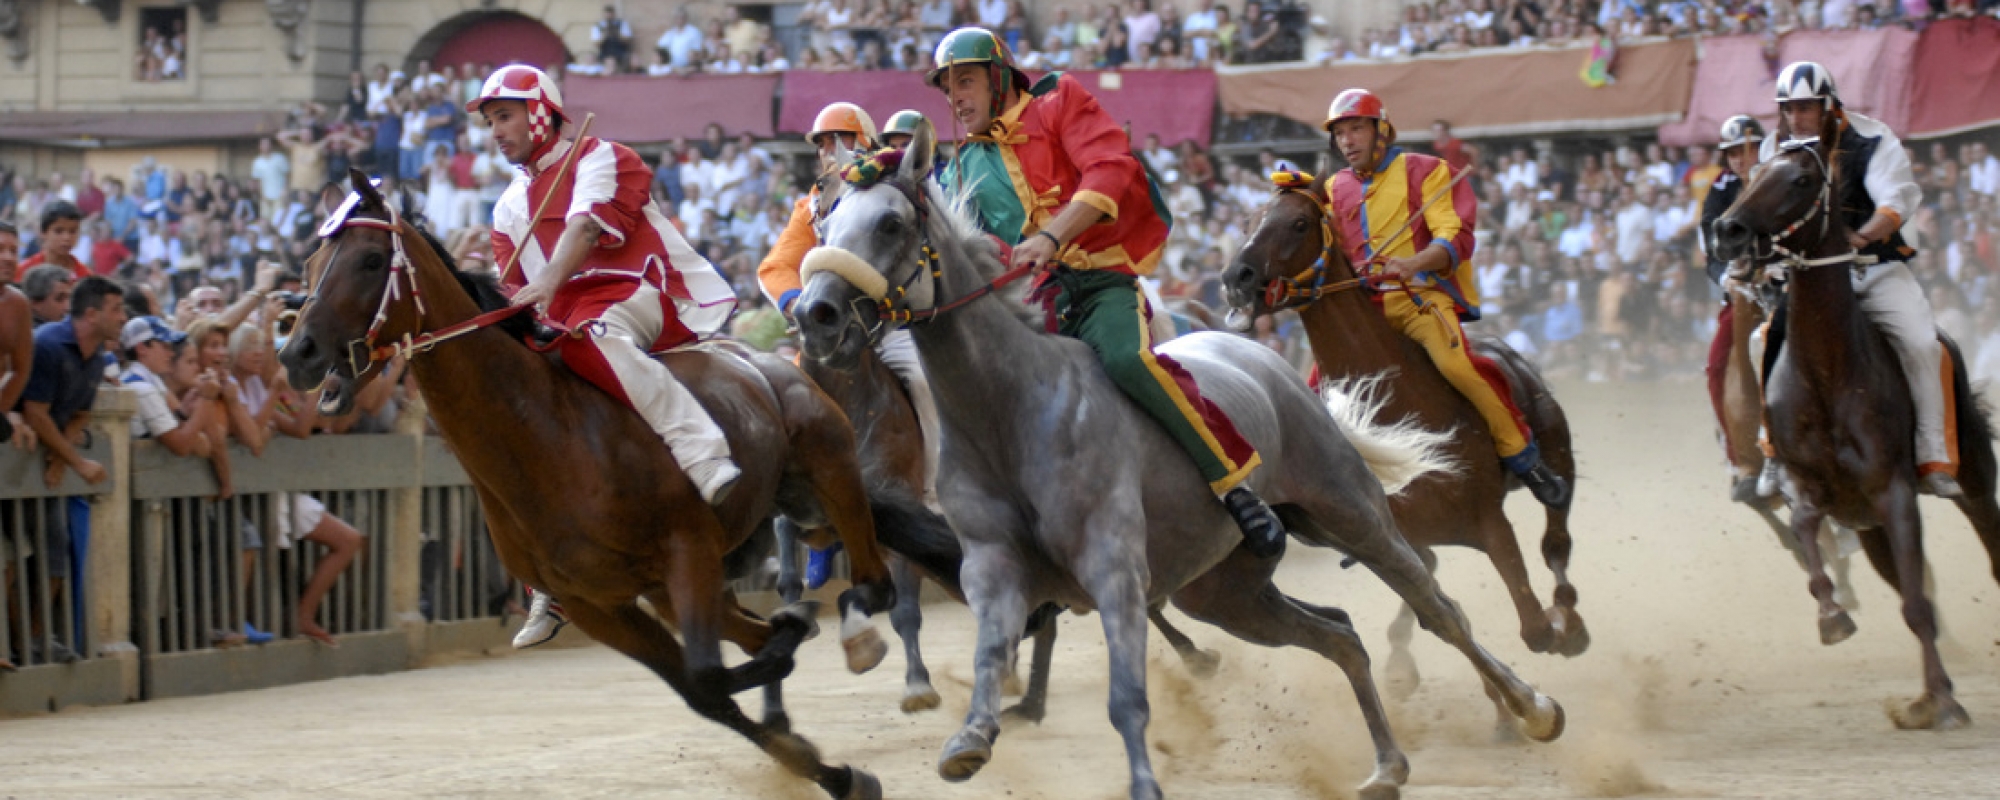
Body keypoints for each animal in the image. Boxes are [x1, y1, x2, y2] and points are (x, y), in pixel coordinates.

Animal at [274, 172, 952, 796]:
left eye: (369, 259)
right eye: (309, 262)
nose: (296, 352)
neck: (547, 436)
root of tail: (771, 364)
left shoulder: (686, 549)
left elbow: (709, 675)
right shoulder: (596, 603)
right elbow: (707, 691)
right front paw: (832, 769)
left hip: (826, 472)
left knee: (874, 583)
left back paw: (852, 635)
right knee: (764, 626)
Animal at [1216, 180, 1592, 700]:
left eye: (1299, 222)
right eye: (1249, 222)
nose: (1238, 276)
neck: (1392, 402)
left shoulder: (1488, 521)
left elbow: (1533, 627)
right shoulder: (1398, 531)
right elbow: (1439, 610)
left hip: (1557, 454)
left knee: (1556, 537)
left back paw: (1571, 622)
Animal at [1712, 128, 2000, 728]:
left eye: (1801, 180)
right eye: (1755, 174)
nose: (1729, 230)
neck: (1827, 370)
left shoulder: (1893, 491)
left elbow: (1916, 602)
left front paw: (1943, 703)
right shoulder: (1807, 485)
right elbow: (1808, 534)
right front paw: (1832, 616)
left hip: (1974, 478)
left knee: (1990, 544)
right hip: (1869, 527)